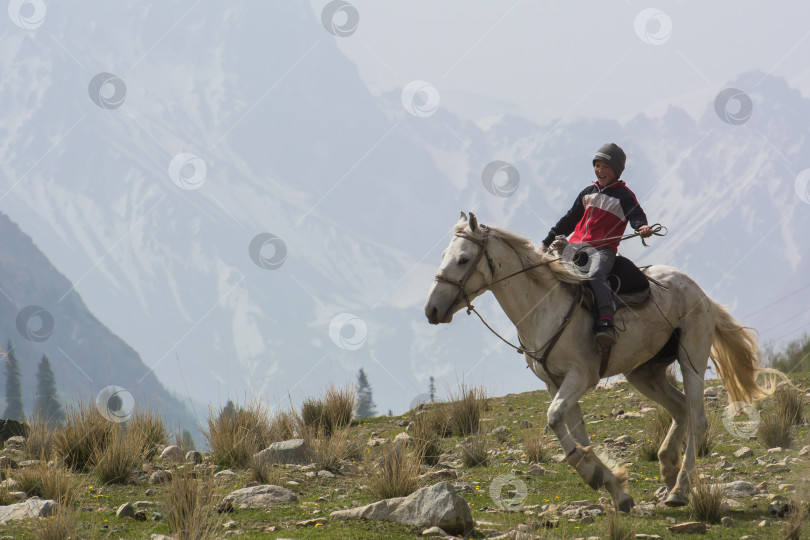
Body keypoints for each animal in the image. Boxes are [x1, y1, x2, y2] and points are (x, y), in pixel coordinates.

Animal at [422, 211, 784, 510]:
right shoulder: (555, 383)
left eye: (463, 259)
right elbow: (575, 430)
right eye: (443, 257)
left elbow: (554, 418)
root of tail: (699, 292)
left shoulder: (581, 377)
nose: (431, 310)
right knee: (680, 408)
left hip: (691, 359)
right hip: (644, 372)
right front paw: (614, 487)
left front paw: (591, 472)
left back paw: (680, 489)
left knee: (696, 419)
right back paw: (668, 467)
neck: (543, 306)